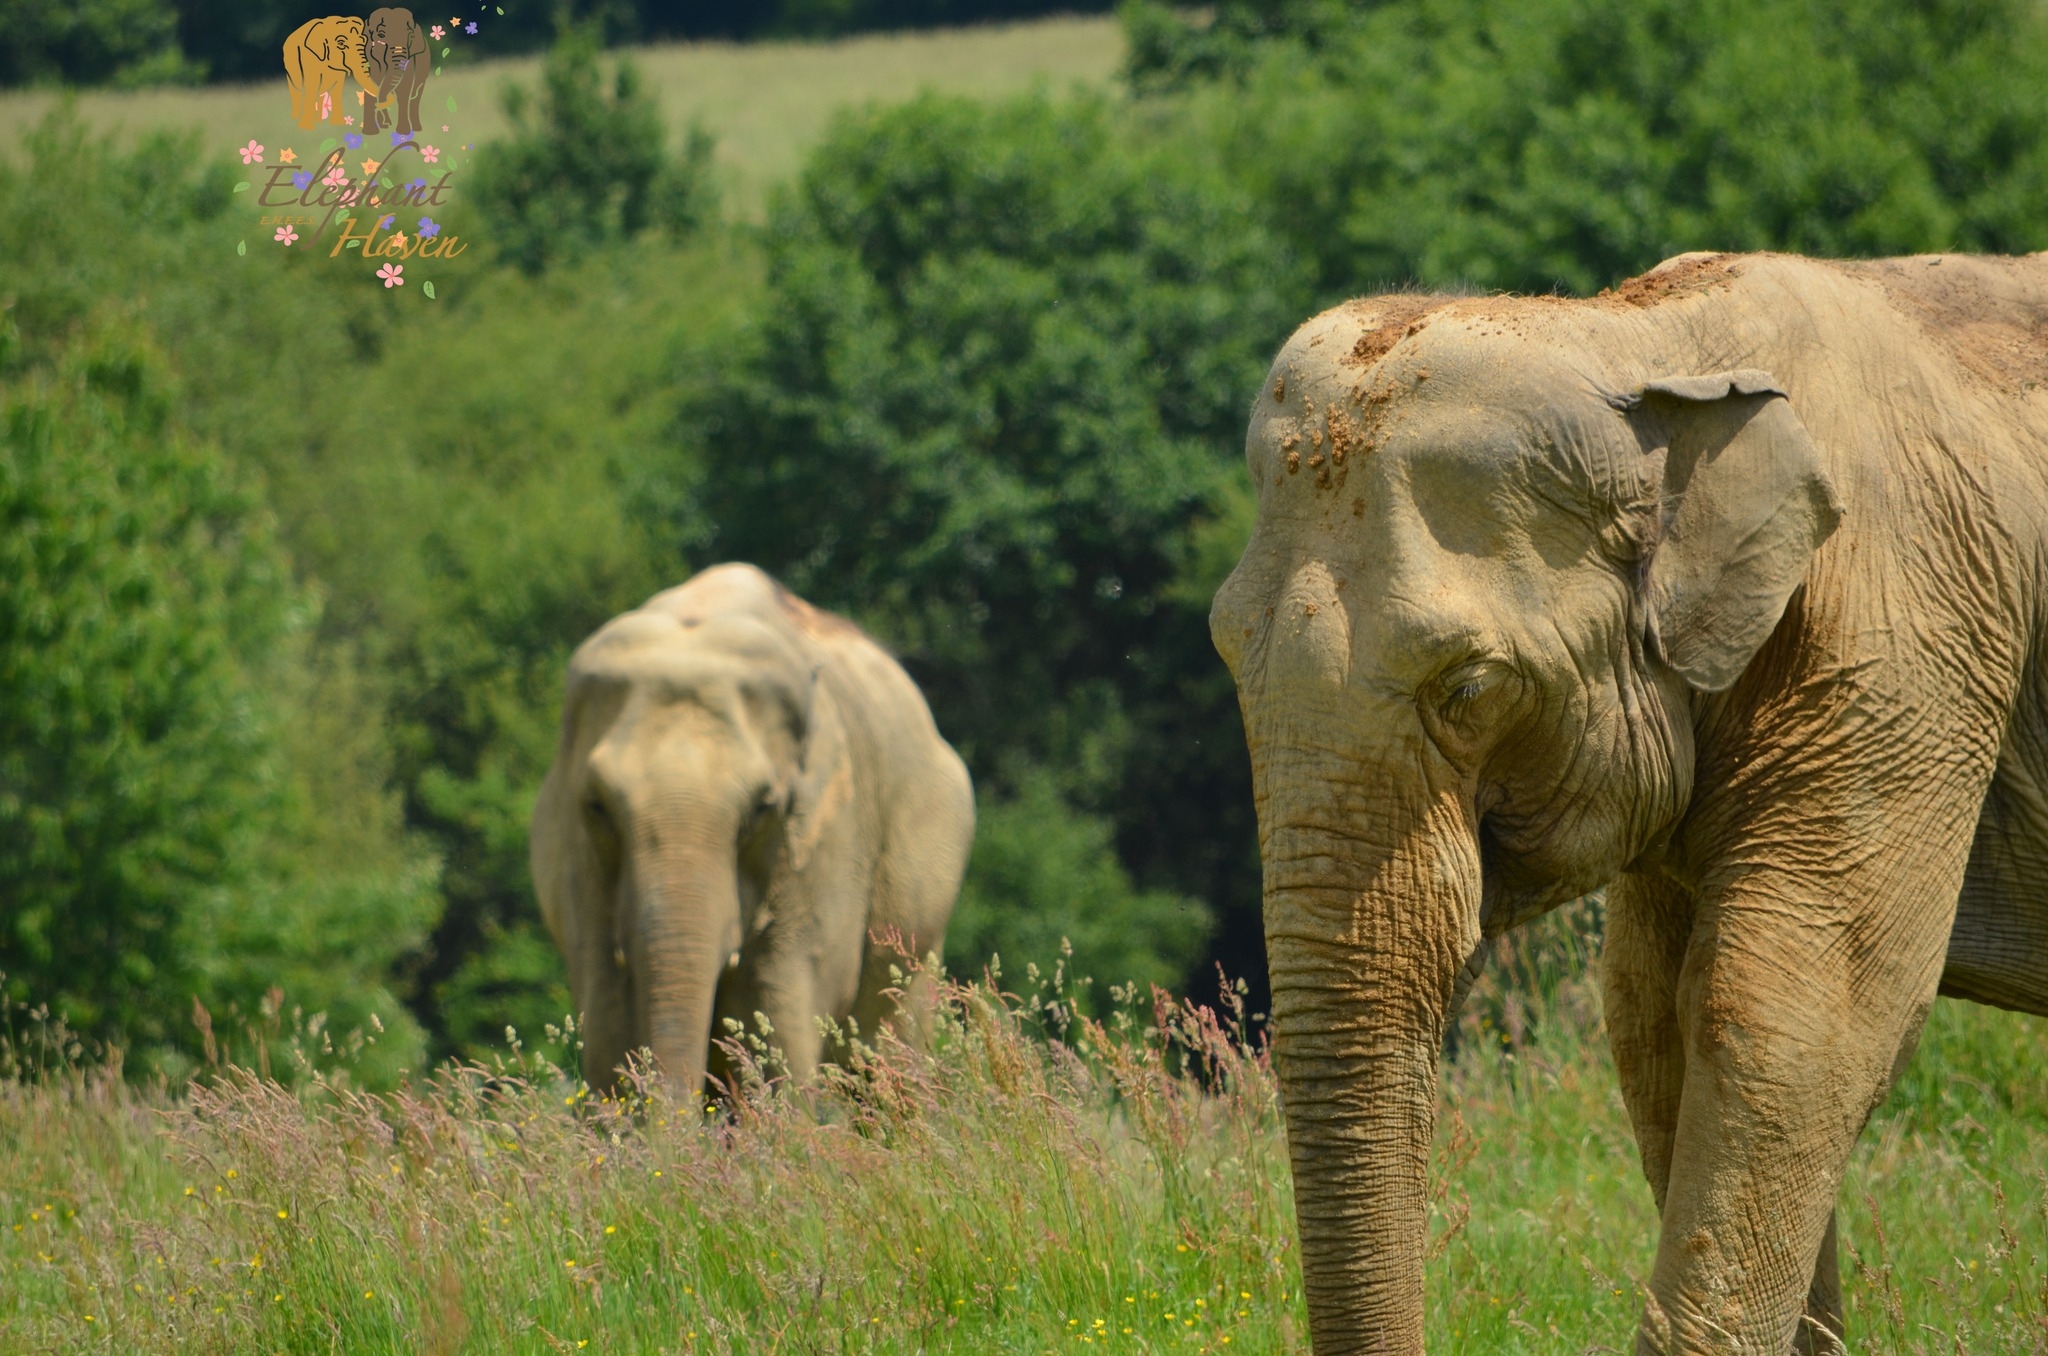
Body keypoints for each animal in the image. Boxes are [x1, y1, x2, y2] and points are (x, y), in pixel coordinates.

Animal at [531, 563, 975, 1096]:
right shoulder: (576, 859)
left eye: (763, 808)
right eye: (597, 806)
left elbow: (778, 1025)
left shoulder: (824, 846)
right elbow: (606, 1028)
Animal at [1209, 250, 2048, 1354]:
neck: (1641, 346)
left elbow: (1795, 1014)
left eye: (1468, 688)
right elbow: (1650, 1016)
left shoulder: (1907, 641)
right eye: (1224, 650)